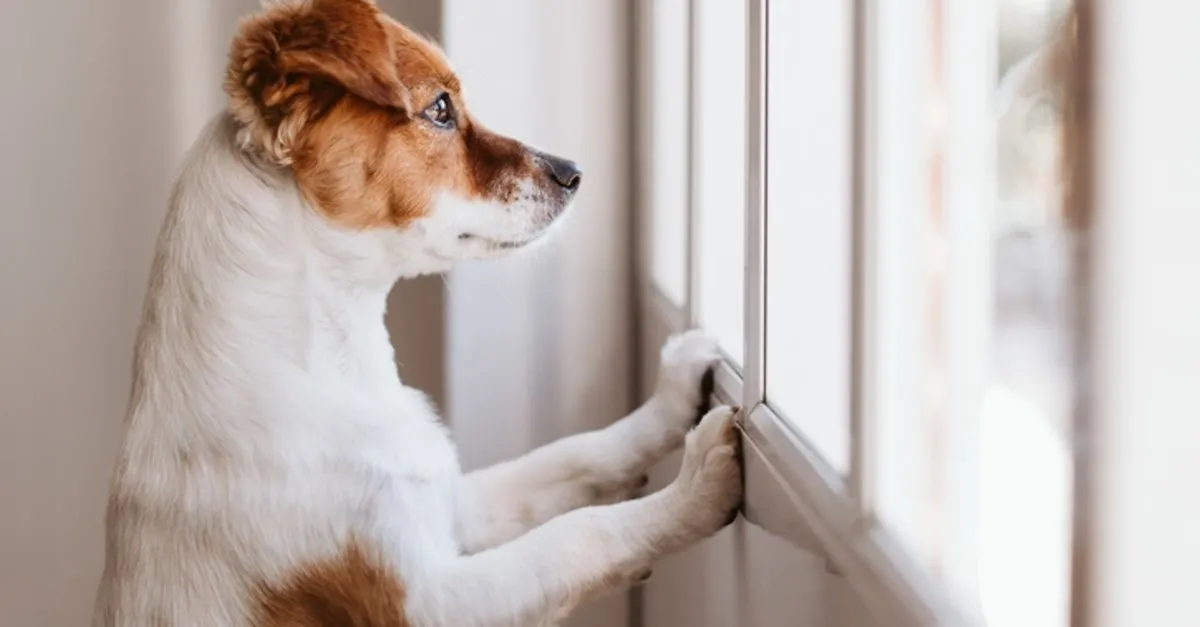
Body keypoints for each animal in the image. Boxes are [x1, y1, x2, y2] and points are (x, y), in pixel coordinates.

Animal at [93, 1, 744, 624]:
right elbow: (575, 537)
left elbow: (570, 456)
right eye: (439, 110)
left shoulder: (448, 506)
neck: (333, 366)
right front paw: (696, 488)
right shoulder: (427, 599)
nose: (574, 173)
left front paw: (672, 395)